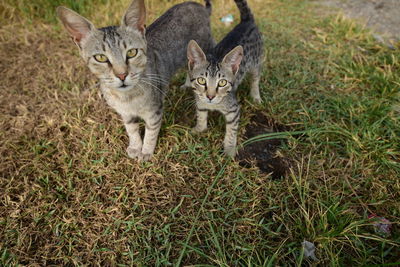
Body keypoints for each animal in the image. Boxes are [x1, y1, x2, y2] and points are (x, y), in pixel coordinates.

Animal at [57, 0, 214, 161]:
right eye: (100, 57)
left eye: (132, 53)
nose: (122, 75)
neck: (127, 98)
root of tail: (199, 6)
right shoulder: (125, 114)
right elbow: (131, 130)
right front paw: (135, 146)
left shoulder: (154, 111)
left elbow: (151, 132)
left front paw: (146, 151)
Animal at [187, 0, 264, 157]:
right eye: (201, 81)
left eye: (222, 83)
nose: (210, 96)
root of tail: (247, 21)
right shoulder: (200, 101)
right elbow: (201, 115)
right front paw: (199, 129)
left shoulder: (234, 110)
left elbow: (231, 131)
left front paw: (229, 150)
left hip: (256, 62)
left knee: (255, 78)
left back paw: (255, 96)